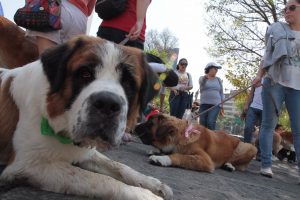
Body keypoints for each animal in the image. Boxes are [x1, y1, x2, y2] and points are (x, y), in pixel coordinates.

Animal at [0, 35, 172, 199]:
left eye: (128, 83)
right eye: (85, 74)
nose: (107, 103)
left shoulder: (87, 153)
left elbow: (118, 166)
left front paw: (153, 183)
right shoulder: (29, 165)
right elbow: (100, 180)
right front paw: (144, 194)